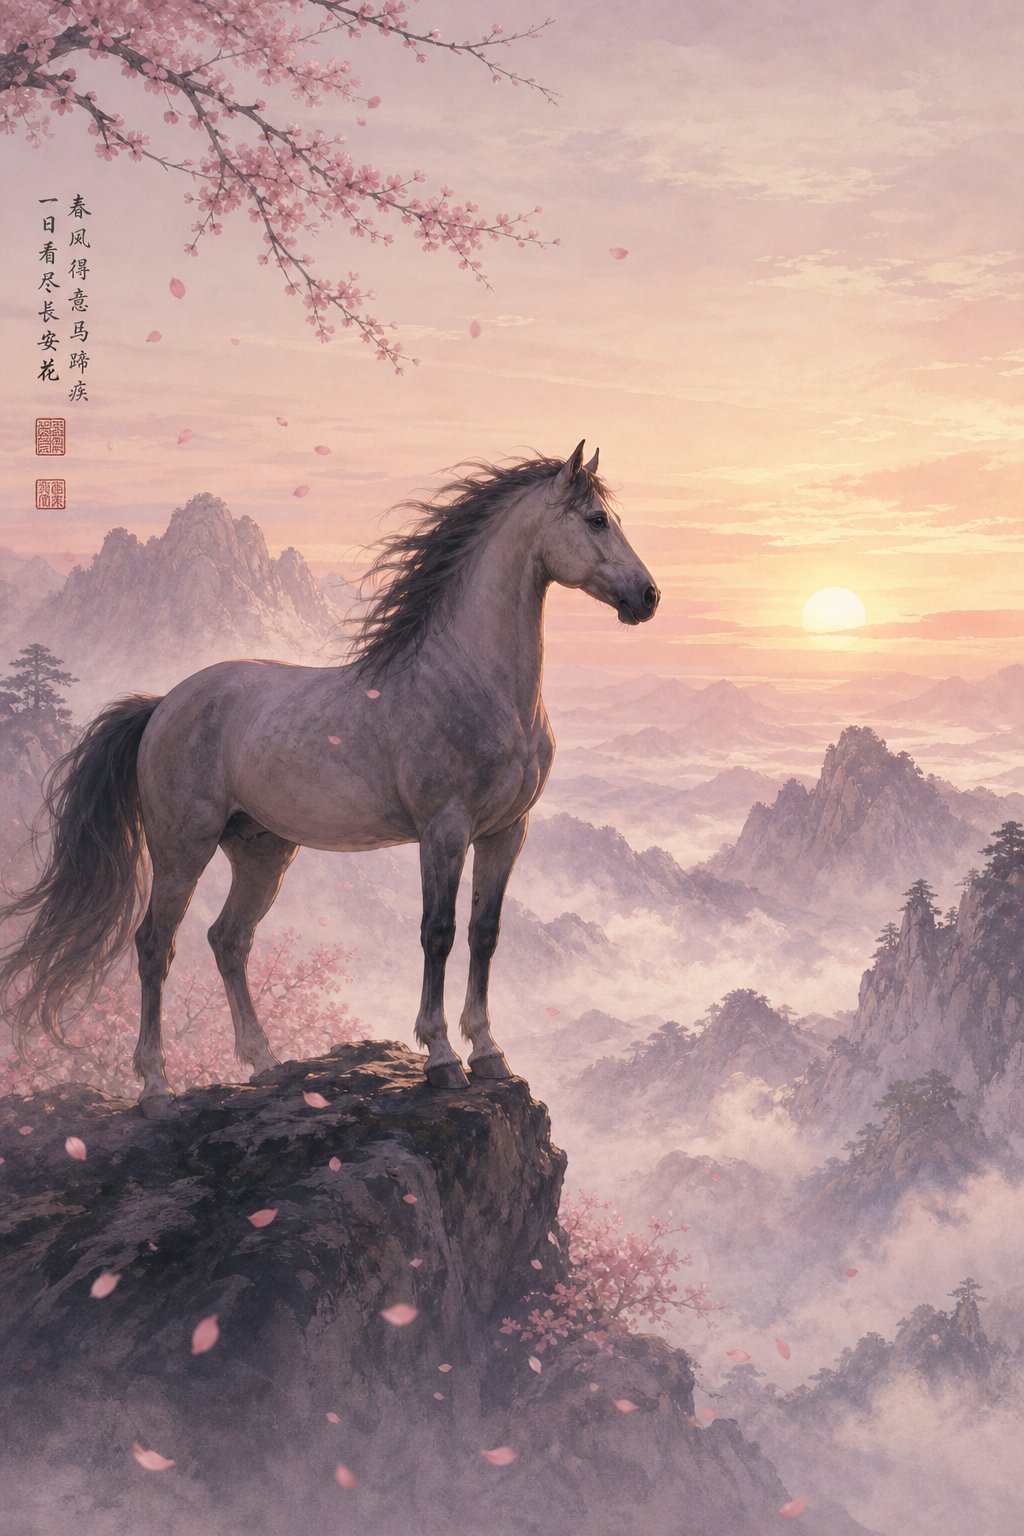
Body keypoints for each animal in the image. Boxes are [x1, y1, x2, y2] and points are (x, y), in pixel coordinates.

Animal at [0, 442, 659, 1116]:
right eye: (597, 521)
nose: (648, 596)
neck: (477, 683)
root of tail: (163, 704)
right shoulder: (444, 832)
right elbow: (439, 933)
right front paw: (442, 1057)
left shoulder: (506, 833)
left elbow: (485, 933)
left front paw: (488, 1053)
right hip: (182, 848)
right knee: (157, 944)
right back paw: (156, 1087)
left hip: (262, 852)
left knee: (228, 939)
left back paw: (265, 1064)